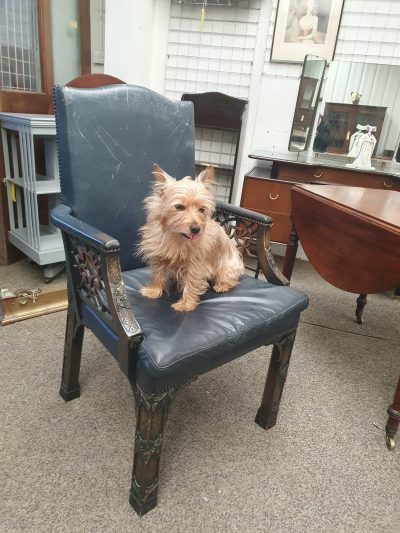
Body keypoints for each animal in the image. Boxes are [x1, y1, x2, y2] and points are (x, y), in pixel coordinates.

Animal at [137, 163, 244, 312]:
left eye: (202, 209)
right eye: (179, 207)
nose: (196, 229)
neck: (177, 236)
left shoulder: (195, 264)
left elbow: (191, 282)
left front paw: (185, 304)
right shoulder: (158, 256)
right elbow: (157, 274)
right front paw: (154, 290)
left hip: (228, 265)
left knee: (229, 277)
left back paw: (222, 285)